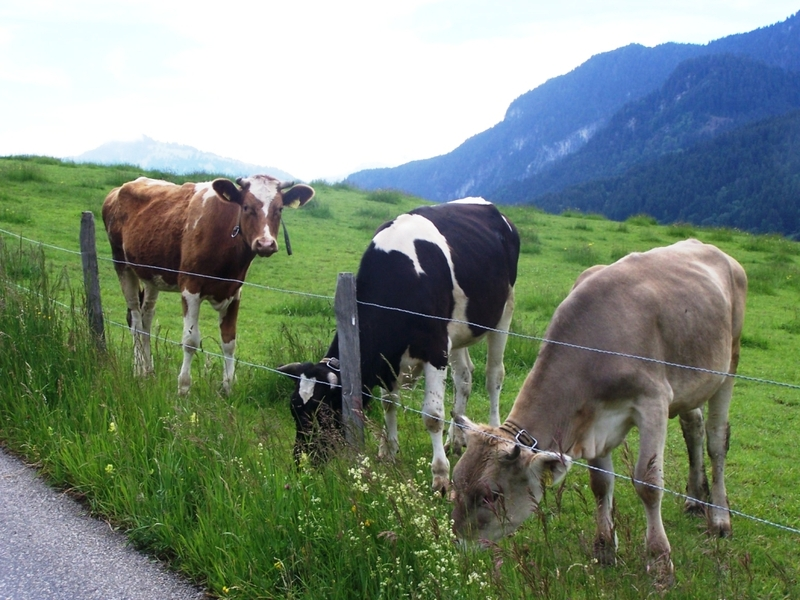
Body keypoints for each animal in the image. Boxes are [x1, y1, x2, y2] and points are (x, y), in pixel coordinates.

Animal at [102, 175, 314, 395]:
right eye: (246, 207)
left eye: (279, 209)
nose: (265, 244)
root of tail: (121, 188)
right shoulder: (190, 287)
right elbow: (190, 341)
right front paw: (183, 388)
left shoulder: (234, 291)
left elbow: (229, 342)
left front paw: (228, 387)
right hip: (122, 264)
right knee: (135, 319)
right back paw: (137, 371)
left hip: (151, 275)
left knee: (146, 318)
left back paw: (148, 371)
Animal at [278, 199, 520, 493]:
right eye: (293, 409)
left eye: (322, 413)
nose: (300, 463)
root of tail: (489, 206)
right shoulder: (392, 359)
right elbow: (388, 403)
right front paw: (388, 451)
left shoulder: (436, 348)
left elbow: (432, 416)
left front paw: (440, 477)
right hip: (459, 330)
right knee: (464, 378)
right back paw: (456, 439)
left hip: (503, 312)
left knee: (494, 376)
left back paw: (493, 436)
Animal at [450, 239, 747, 583]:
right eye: (456, 481)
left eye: (491, 495)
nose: (459, 543)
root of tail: (711, 248)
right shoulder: (594, 420)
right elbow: (600, 483)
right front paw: (604, 549)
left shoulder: (653, 401)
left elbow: (648, 484)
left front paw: (659, 561)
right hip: (693, 381)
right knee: (693, 428)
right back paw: (694, 500)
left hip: (729, 364)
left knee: (716, 441)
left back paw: (720, 518)